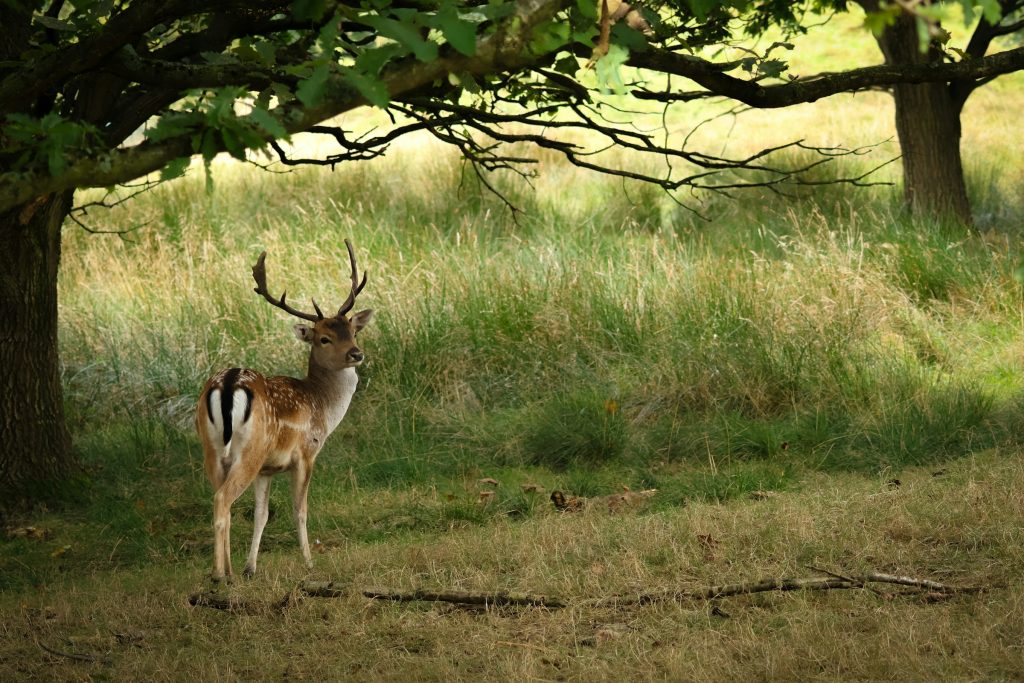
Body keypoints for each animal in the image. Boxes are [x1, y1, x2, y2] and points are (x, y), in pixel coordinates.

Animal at [195, 239, 373, 581]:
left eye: (353, 331)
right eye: (324, 338)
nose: (356, 354)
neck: (321, 405)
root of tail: (228, 383)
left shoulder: (268, 469)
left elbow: (261, 514)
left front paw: (251, 567)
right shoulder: (306, 453)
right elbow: (299, 509)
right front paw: (309, 563)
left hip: (211, 449)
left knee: (219, 501)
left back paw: (227, 571)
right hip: (250, 451)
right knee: (223, 500)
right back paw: (221, 575)